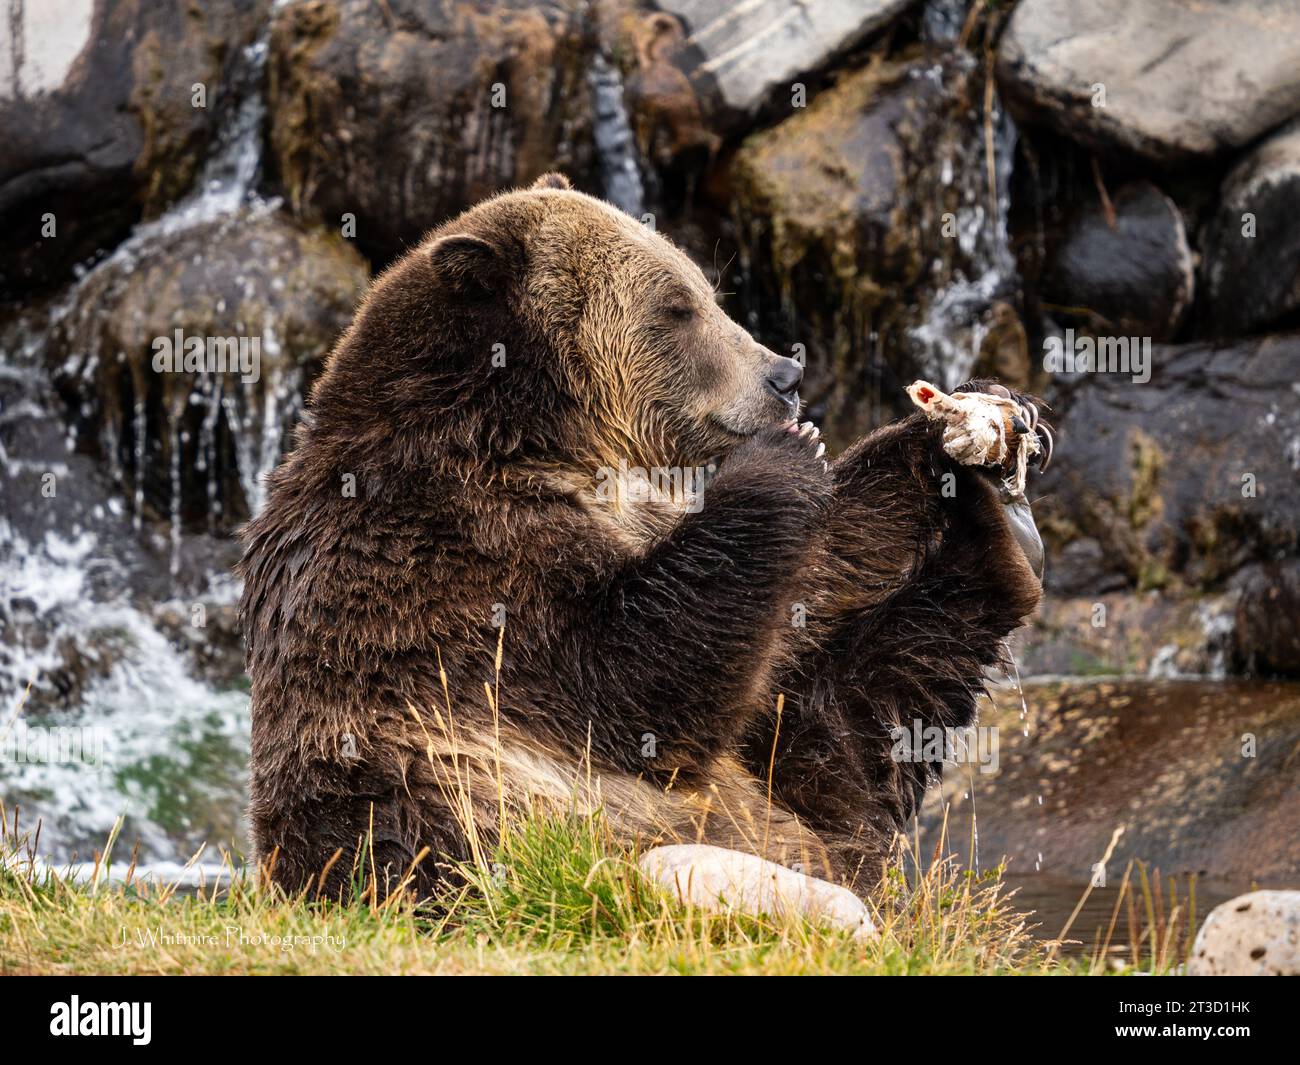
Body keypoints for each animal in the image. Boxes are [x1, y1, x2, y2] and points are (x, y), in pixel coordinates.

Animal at [236, 172, 1045, 899]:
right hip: (422, 806)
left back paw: (995, 526)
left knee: (871, 707)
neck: (536, 437)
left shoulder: (637, 515)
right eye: (676, 307)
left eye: (708, 292)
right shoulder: (456, 561)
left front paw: (942, 427)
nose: (784, 376)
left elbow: (807, 599)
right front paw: (778, 461)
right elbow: (631, 680)